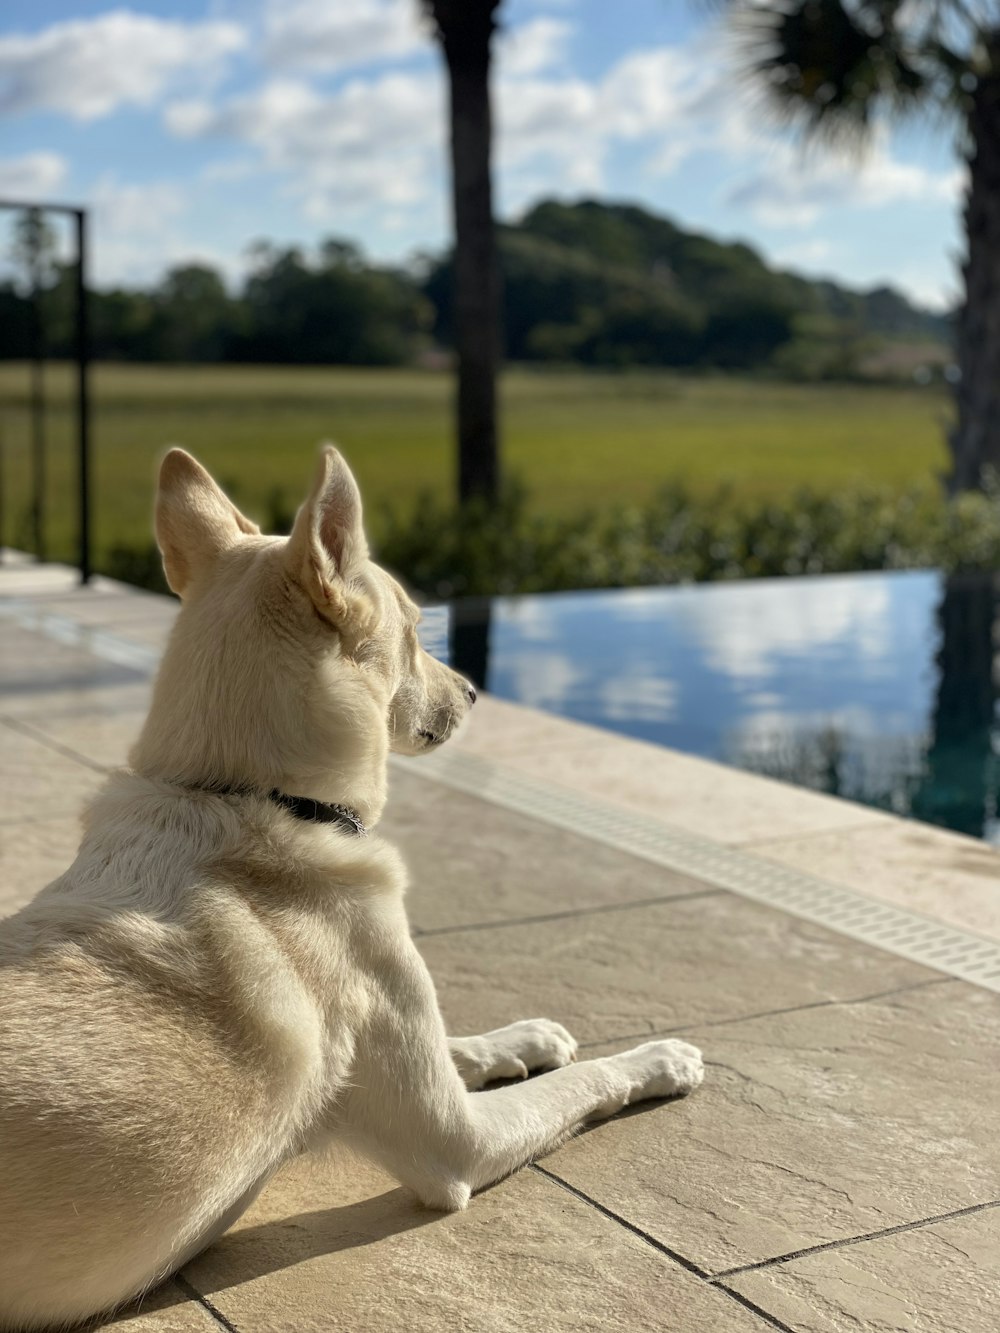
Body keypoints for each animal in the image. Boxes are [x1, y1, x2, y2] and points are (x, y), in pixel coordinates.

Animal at [0, 450, 704, 1333]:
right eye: (417, 628)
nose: (474, 691)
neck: (248, 795)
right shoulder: (457, 1141)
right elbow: (584, 1083)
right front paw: (660, 1056)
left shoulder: (411, 1038)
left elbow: (463, 1042)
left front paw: (526, 1038)